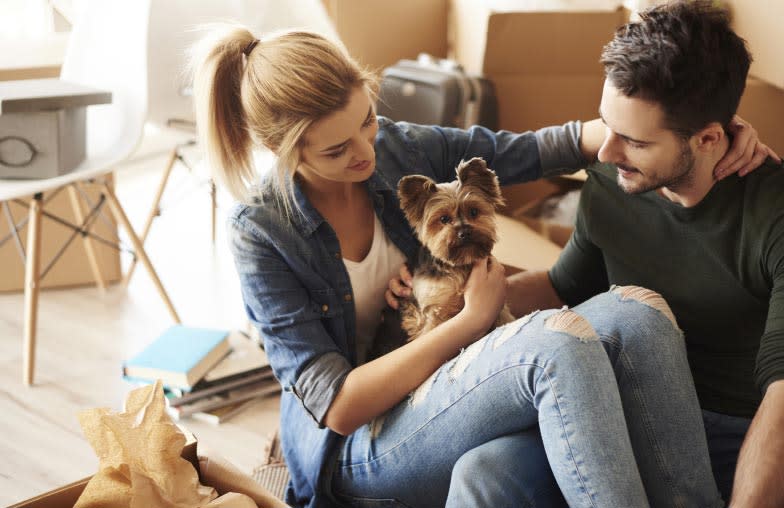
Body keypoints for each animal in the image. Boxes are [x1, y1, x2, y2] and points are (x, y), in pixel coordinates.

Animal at [398, 158, 516, 342]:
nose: (465, 232)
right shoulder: (434, 310)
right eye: (444, 219)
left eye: (474, 211)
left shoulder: (499, 308)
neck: (460, 264)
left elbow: (504, 318)